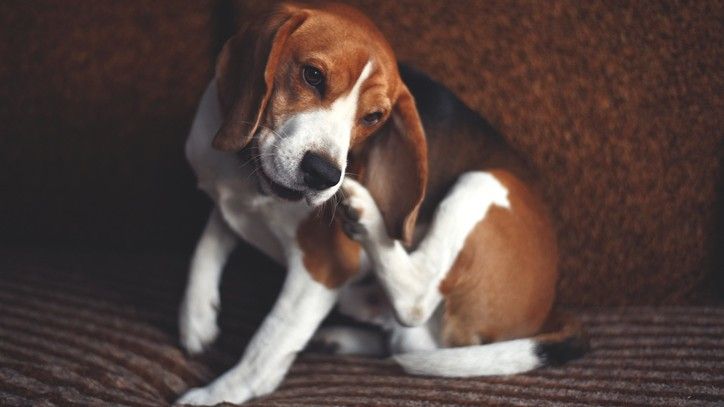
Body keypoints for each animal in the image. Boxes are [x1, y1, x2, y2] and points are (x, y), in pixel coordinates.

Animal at [178, 2, 584, 404]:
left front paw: (216, 393)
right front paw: (196, 317)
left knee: (415, 303)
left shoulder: (324, 267)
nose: (324, 174)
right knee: (407, 340)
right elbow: (208, 241)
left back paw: (367, 220)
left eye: (373, 117)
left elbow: (265, 346)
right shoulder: (225, 196)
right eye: (312, 76)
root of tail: (547, 310)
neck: (253, 182)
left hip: (485, 182)